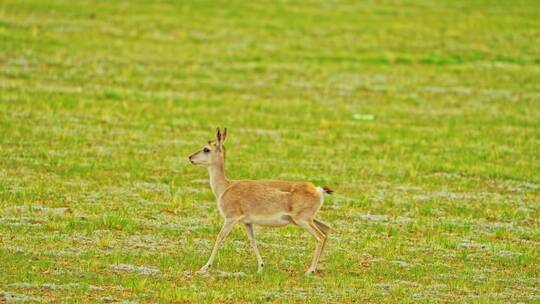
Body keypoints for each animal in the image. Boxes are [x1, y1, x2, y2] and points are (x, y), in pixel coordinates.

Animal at [190, 128, 334, 276]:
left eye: (206, 149)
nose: (190, 157)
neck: (226, 187)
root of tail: (317, 189)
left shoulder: (230, 218)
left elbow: (219, 237)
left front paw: (204, 268)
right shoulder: (247, 222)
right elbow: (252, 240)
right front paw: (260, 267)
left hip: (303, 220)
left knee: (320, 237)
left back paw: (310, 270)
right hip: (307, 219)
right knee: (327, 229)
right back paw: (317, 268)